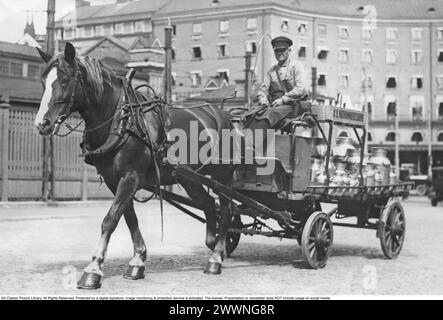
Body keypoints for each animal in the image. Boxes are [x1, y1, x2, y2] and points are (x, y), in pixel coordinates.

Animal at [35, 42, 236, 290]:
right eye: (43, 81)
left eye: (64, 80)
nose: (42, 123)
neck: (121, 119)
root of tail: (221, 113)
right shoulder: (114, 180)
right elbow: (129, 217)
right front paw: (138, 261)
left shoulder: (130, 177)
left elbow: (110, 219)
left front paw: (94, 269)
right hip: (189, 178)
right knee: (208, 203)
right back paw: (212, 243)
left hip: (222, 176)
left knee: (226, 209)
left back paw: (216, 256)